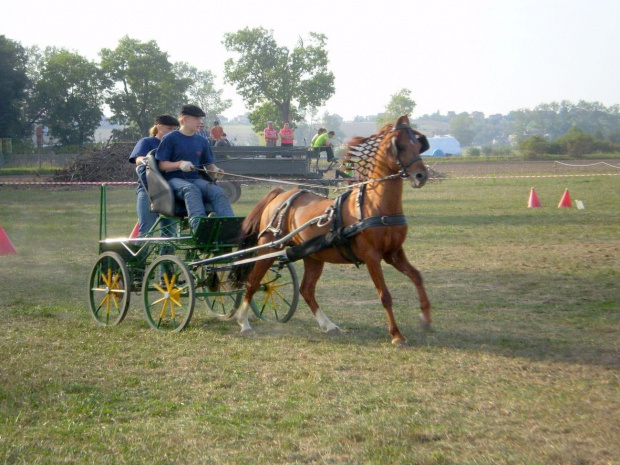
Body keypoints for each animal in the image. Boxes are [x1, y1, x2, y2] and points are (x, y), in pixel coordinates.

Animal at [230, 114, 428, 342]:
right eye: (401, 146)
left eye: (418, 145)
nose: (422, 175)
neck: (376, 205)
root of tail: (280, 194)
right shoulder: (372, 256)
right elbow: (385, 295)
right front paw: (396, 335)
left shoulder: (393, 252)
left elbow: (417, 276)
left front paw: (425, 318)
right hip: (269, 247)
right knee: (253, 282)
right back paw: (243, 322)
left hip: (312, 255)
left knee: (306, 289)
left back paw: (328, 325)